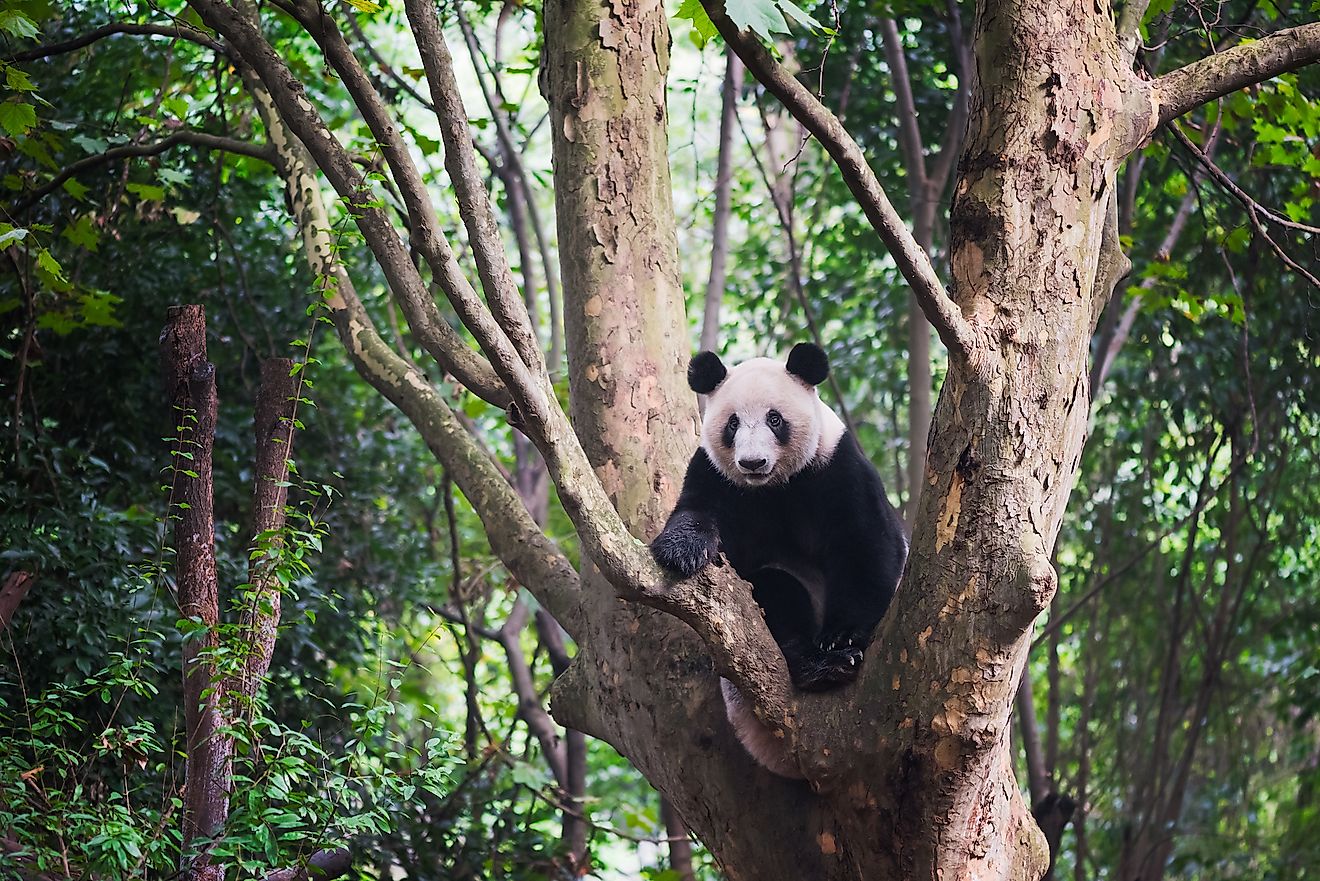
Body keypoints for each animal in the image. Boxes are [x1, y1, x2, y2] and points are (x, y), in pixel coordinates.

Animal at [649, 343, 908, 776]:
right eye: (733, 424)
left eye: (775, 419)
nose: (753, 463)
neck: (774, 487)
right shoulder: (717, 474)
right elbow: (698, 512)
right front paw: (680, 550)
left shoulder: (835, 465)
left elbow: (865, 545)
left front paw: (843, 636)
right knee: (775, 590)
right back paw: (816, 666)